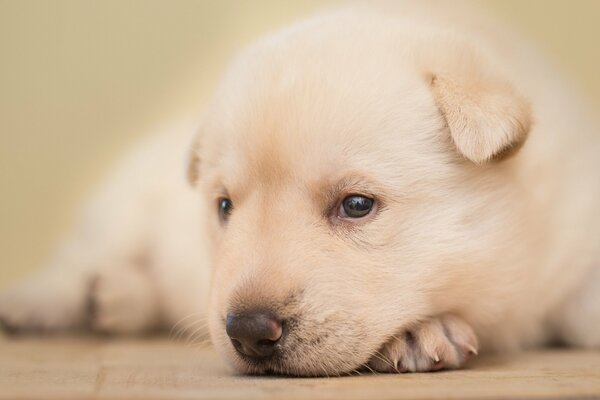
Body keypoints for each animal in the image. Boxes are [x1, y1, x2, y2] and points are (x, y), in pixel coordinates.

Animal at [1, 0, 600, 376]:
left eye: (356, 205)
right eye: (224, 207)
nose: (247, 330)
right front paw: (421, 333)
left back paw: (116, 299)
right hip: (124, 209)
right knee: (78, 259)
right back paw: (41, 302)